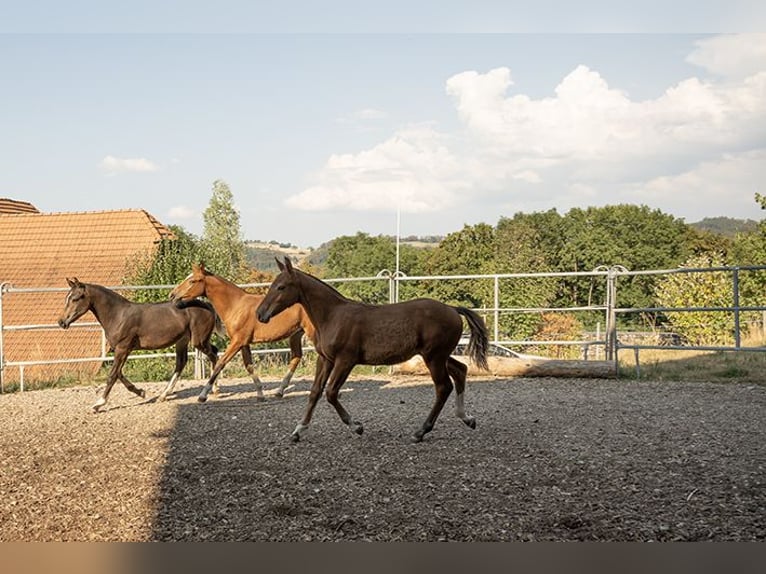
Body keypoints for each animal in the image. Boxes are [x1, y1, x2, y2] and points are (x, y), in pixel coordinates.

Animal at [57, 278, 221, 412]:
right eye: (66, 298)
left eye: (75, 299)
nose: (61, 322)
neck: (118, 315)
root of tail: (207, 305)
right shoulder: (123, 350)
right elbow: (119, 373)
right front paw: (141, 392)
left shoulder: (122, 348)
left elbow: (112, 375)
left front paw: (99, 404)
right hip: (183, 341)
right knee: (185, 362)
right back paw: (164, 395)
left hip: (198, 341)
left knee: (214, 356)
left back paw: (213, 390)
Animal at [169, 262, 316, 402]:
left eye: (192, 281)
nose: (173, 295)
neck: (235, 306)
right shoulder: (244, 343)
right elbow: (249, 366)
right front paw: (260, 395)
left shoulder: (237, 342)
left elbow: (220, 363)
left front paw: (203, 396)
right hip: (296, 334)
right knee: (296, 357)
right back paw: (279, 391)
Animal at [256, 257, 490, 443]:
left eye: (281, 287)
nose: (260, 314)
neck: (333, 316)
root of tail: (452, 309)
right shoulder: (326, 360)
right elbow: (315, 392)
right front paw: (298, 430)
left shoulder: (345, 361)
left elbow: (331, 393)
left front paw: (357, 426)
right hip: (439, 356)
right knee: (460, 371)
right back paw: (467, 418)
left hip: (434, 357)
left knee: (443, 387)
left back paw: (421, 431)